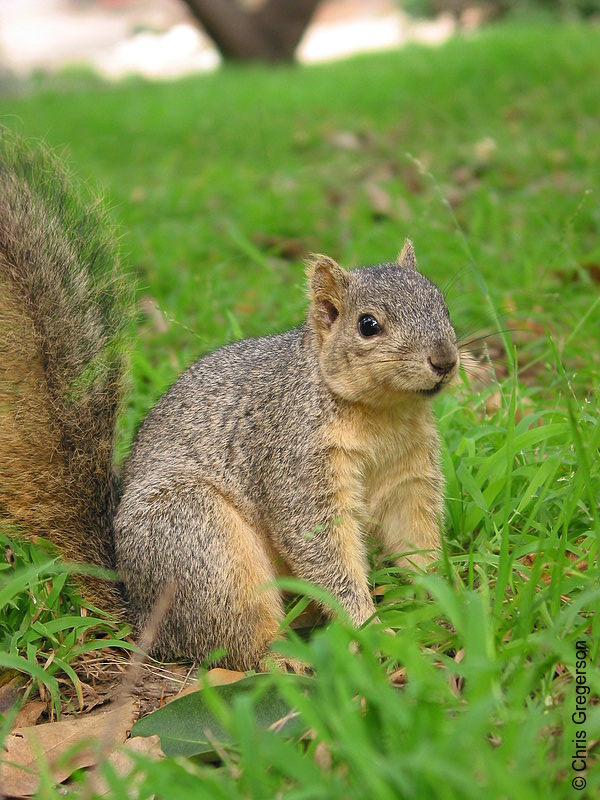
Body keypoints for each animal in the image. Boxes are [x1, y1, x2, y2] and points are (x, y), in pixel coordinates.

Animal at [1, 136, 460, 668]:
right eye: (368, 325)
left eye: (443, 303)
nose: (445, 360)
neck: (383, 413)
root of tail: (141, 615)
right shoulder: (296, 459)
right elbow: (320, 546)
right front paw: (373, 631)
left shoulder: (409, 472)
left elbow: (415, 537)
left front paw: (442, 601)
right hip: (202, 546)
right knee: (238, 639)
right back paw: (285, 660)